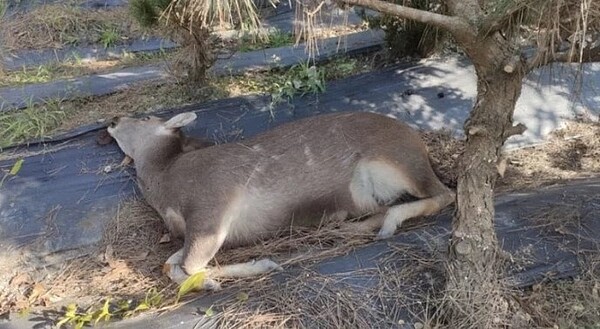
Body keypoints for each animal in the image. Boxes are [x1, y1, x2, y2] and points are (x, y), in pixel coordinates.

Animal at [108, 111, 454, 290]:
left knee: (445, 193)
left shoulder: (211, 206)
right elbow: (171, 264)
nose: (113, 119)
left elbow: (189, 265)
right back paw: (349, 225)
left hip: (398, 162)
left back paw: (387, 224)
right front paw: (211, 282)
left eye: (146, 117)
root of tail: (420, 143)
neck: (165, 183)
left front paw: (259, 265)